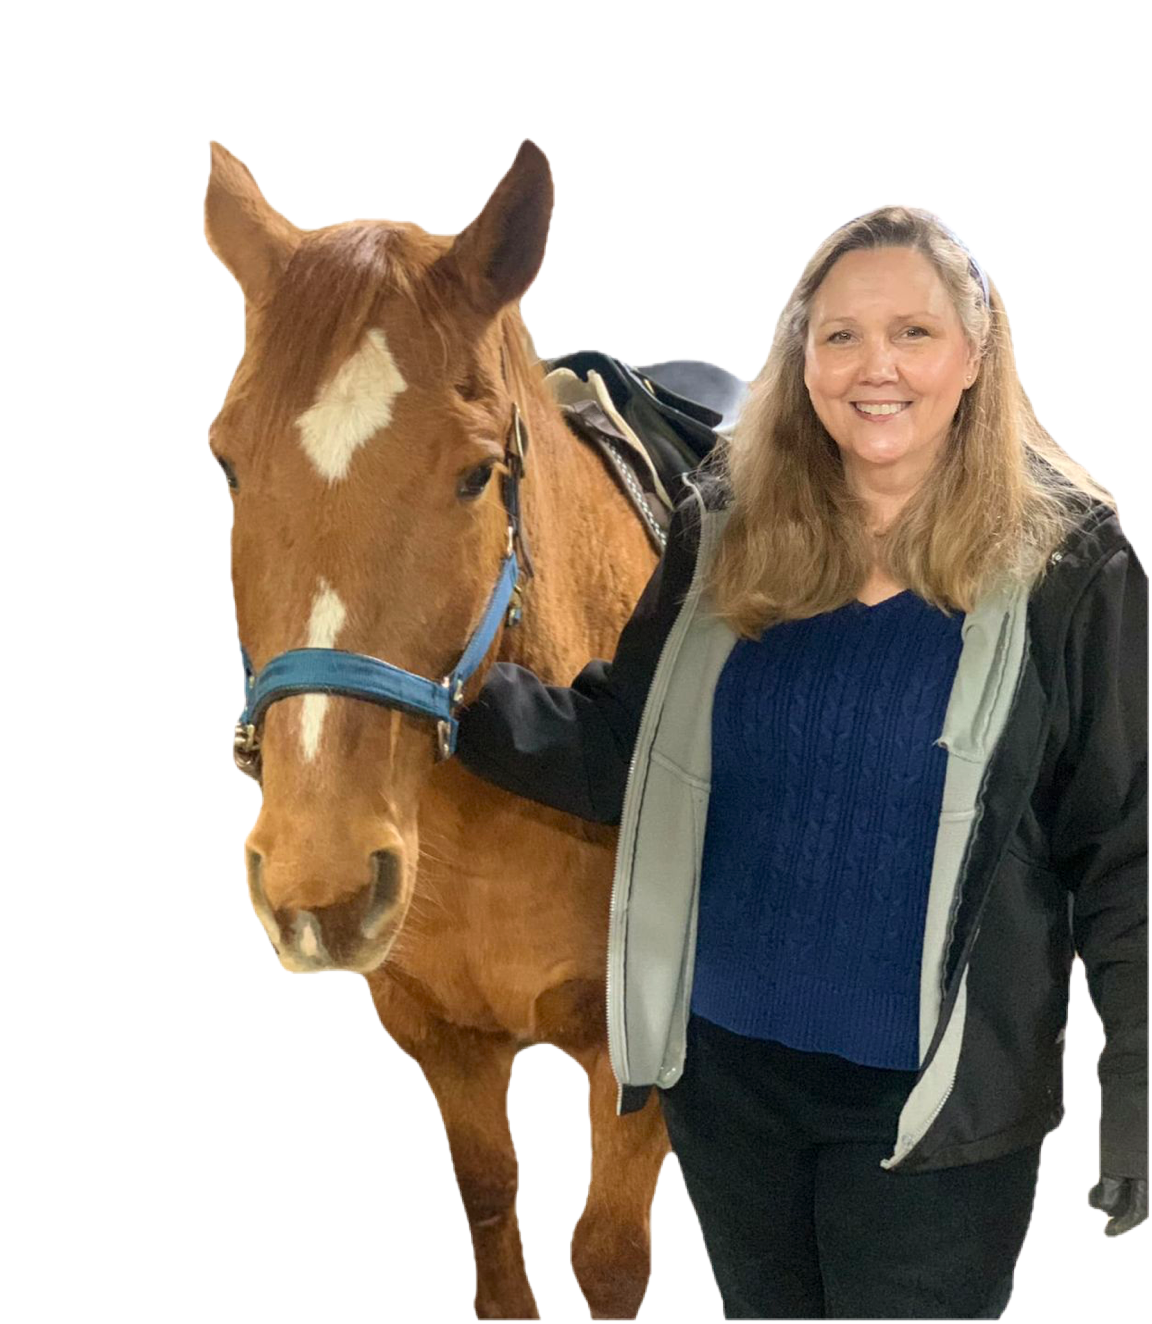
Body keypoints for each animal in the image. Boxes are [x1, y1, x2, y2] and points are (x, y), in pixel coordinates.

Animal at [204, 137, 674, 1320]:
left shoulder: (640, 1065)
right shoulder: (443, 1042)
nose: (316, 880)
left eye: (474, 474)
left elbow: (608, 1255)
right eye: (229, 464)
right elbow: (493, 1207)